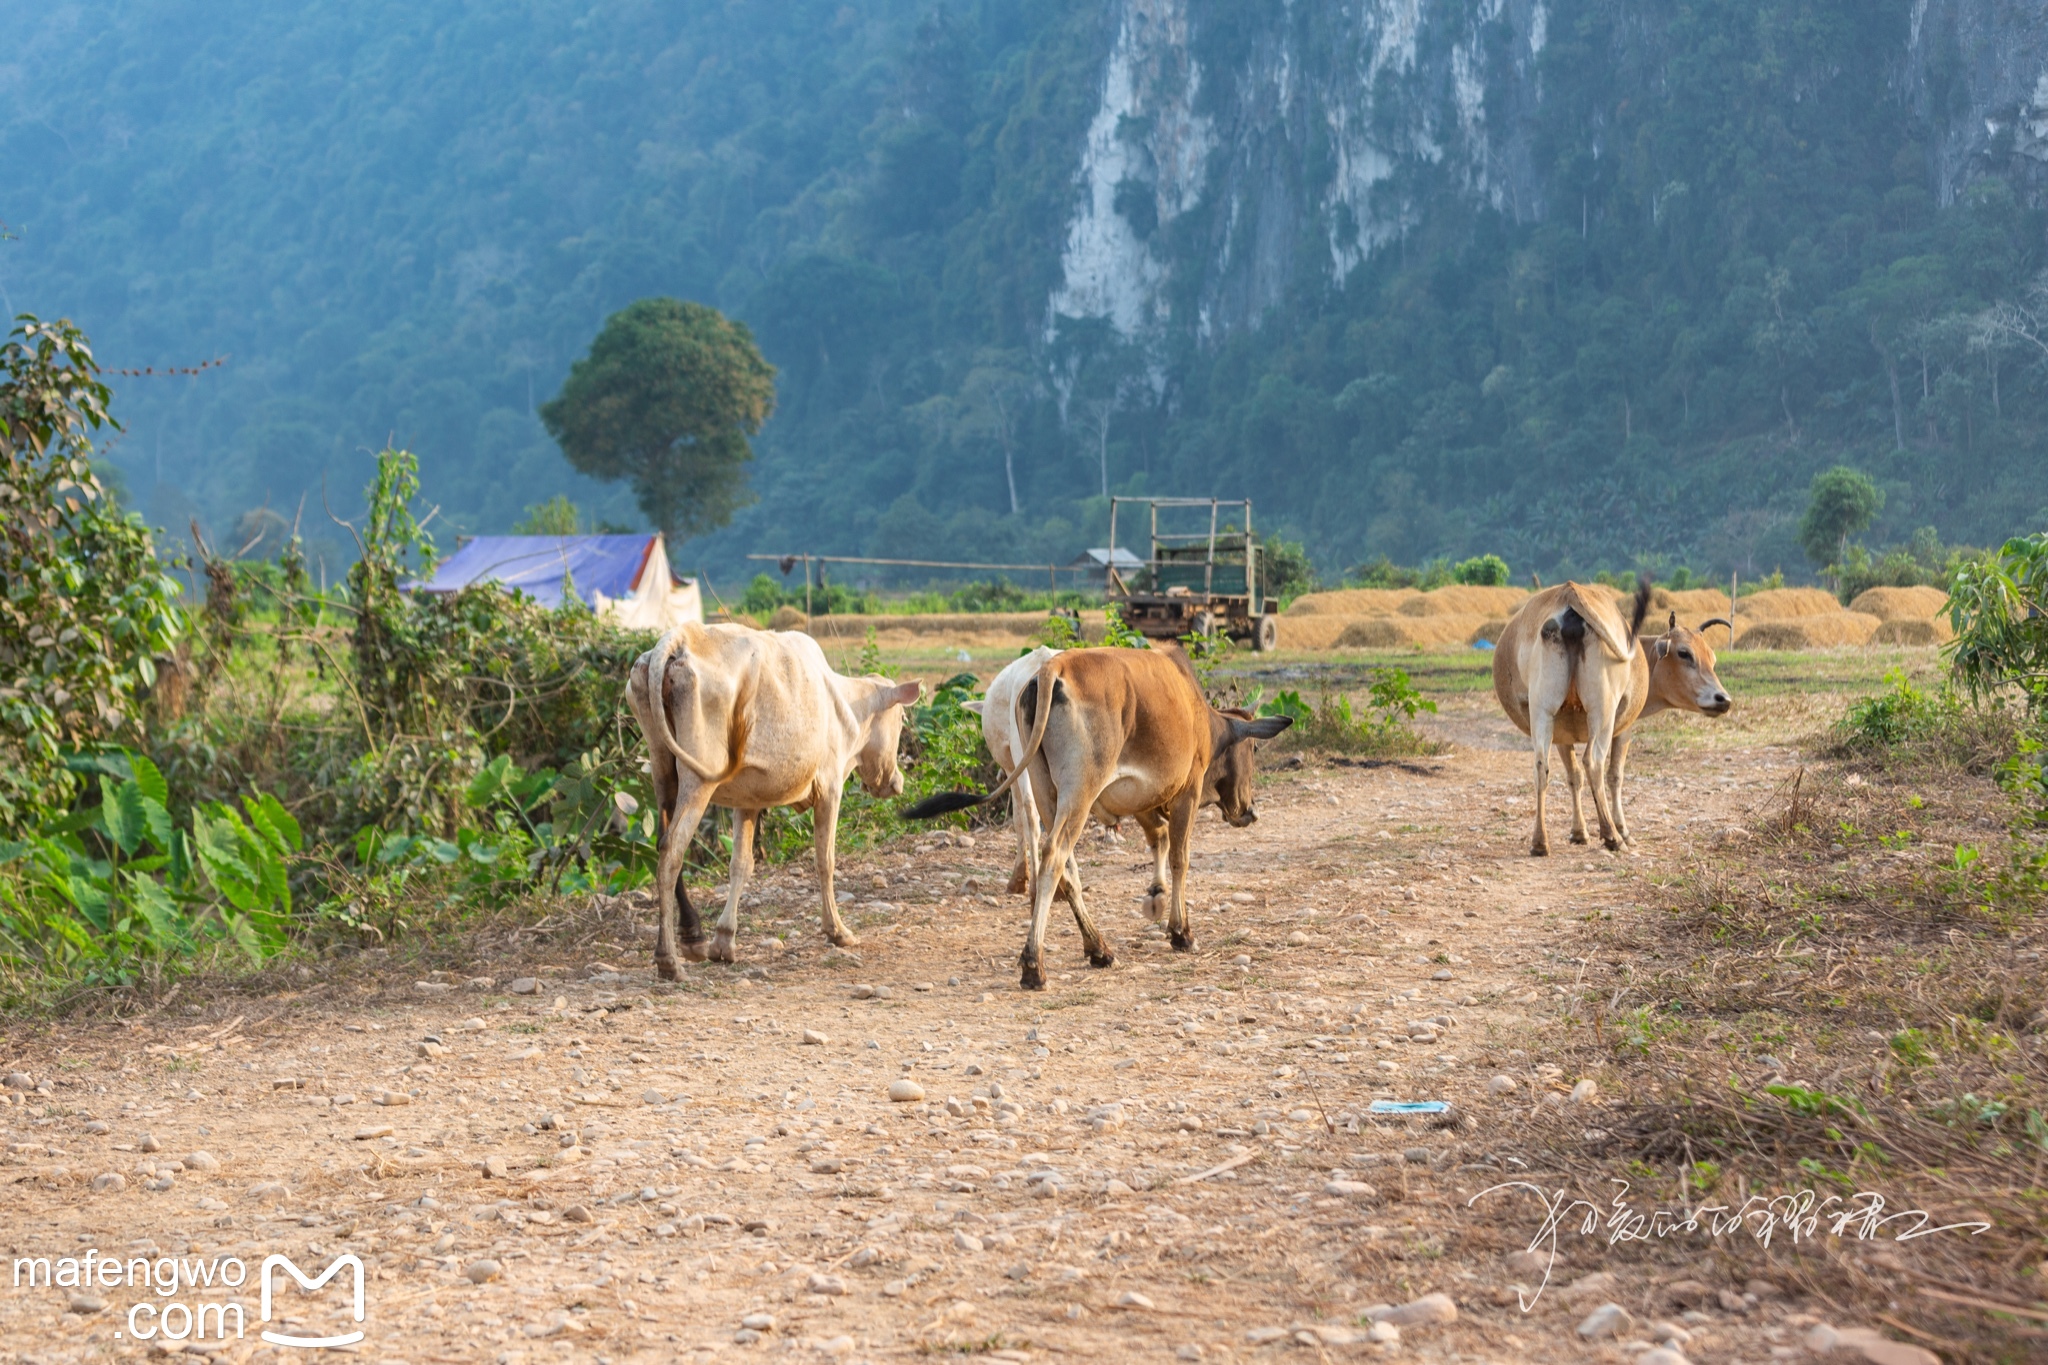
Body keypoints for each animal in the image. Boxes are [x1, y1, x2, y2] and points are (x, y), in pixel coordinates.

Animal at [618, 626, 917, 978]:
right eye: (900, 718)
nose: (896, 782)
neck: (844, 705)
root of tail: (679, 639)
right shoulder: (830, 788)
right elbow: (825, 860)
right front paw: (837, 931)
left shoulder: (747, 801)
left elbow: (741, 864)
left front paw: (724, 941)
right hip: (698, 780)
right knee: (671, 852)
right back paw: (669, 961)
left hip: (662, 767)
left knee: (662, 841)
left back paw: (693, 936)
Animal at [901, 646, 1277, 986]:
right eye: (1254, 748)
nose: (1250, 810)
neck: (1201, 717)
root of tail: (1051, 669)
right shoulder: (1189, 788)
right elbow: (1179, 858)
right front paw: (1180, 931)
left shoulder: (1141, 798)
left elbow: (1159, 839)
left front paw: (1155, 895)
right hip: (1080, 789)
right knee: (1055, 854)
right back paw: (1034, 964)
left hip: (1046, 788)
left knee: (1062, 862)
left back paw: (1097, 948)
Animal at [1490, 585, 1728, 859]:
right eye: (1684, 653)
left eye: (1712, 658)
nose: (1723, 699)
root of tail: (1569, 592)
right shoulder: (1623, 730)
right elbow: (1615, 776)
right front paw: (1623, 830)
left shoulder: (1561, 734)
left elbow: (1573, 776)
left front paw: (1579, 832)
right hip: (1602, 711)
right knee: (1594, 762)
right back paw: (1612, 836)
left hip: (1543, 710)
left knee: (1541, 766)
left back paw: (1540, 842)